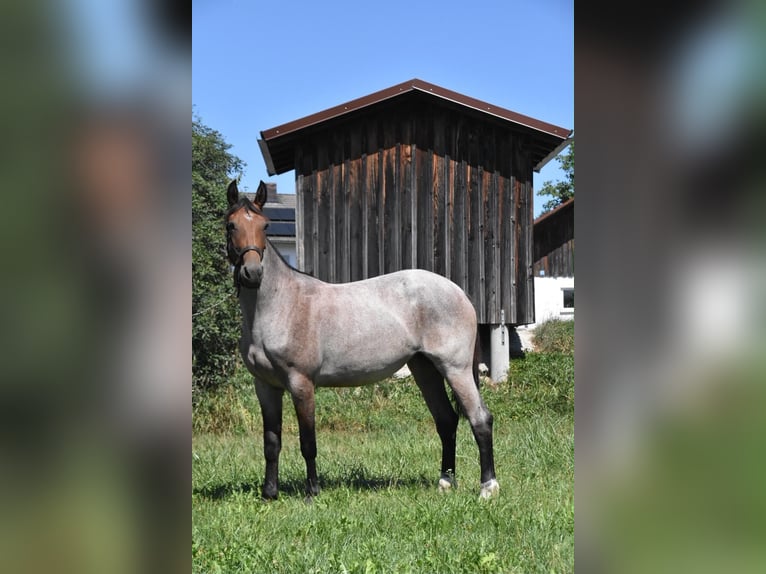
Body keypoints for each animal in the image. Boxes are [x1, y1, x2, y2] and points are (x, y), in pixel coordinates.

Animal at [225, 179, 499, 500]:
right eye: (231, 225)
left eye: (265, 225)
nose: (253, 273)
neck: (282, 305)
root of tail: (459, 292)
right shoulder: (266, 386)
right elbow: (271, 441)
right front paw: (269, 493)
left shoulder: (301, 383)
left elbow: (308, 442)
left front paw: (312, 492)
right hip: (425, 369)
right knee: (446, 420)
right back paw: (445, 481)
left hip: (456, 369)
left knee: (480, 419)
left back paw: (488, 488)